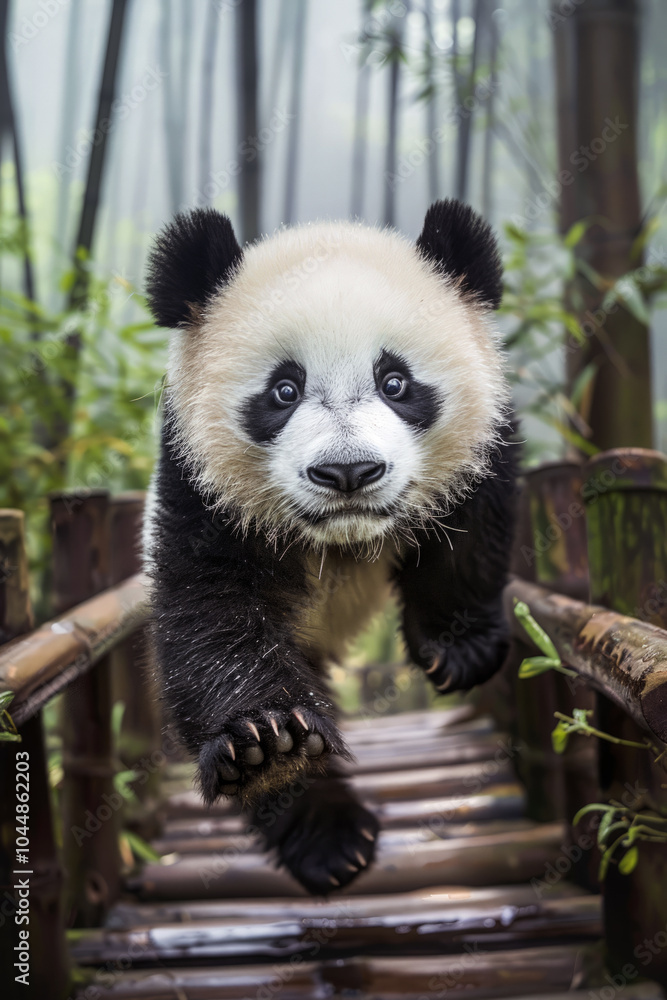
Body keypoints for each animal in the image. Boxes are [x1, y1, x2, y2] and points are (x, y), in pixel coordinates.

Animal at [143, 199, 518, 895]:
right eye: (283, 390)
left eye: (395, 382)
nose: (348, 472)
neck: (341, 541)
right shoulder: (197, 490)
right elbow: (209, 614)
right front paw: (268, 744)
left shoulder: (486, 436)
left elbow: (474, 522)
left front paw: (460, 647)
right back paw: (323, 828)